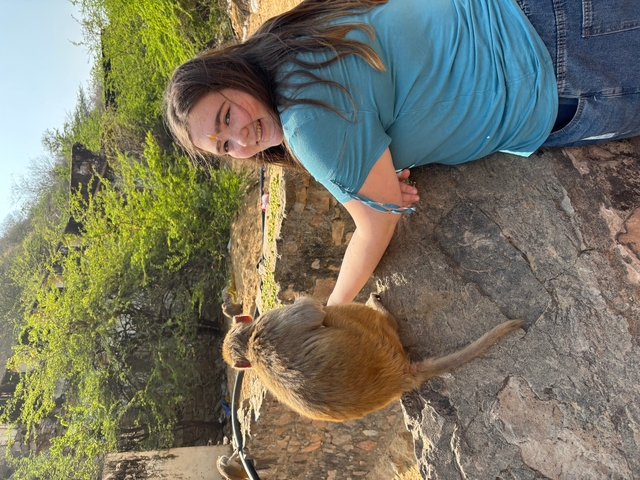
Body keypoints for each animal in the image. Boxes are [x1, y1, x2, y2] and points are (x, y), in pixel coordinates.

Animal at [222, 293, 523, 422]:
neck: (249, 346)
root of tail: (399, 376)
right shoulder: (276, 320)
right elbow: (311, 310)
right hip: (374, 332)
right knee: (334, 313)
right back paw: (378, 308)